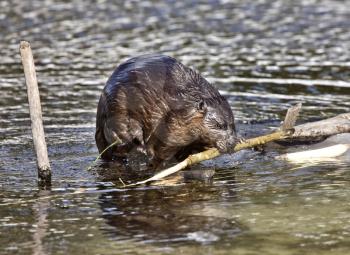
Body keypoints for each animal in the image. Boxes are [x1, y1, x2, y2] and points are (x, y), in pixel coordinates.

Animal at [95, 54, 238, 169]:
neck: (185, 102)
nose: (232, 143)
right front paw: (154, 158)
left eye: (233, 125)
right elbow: (165, 143)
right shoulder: (172, 121)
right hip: (117, 110)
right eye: (219, 125)